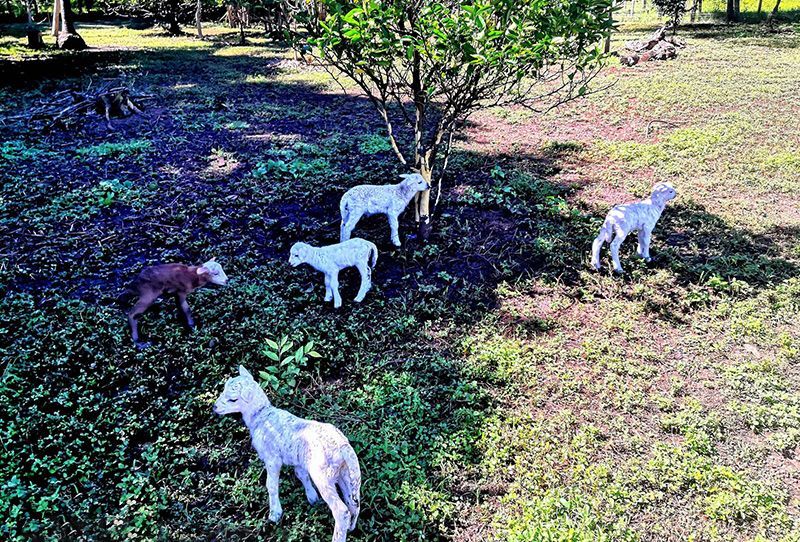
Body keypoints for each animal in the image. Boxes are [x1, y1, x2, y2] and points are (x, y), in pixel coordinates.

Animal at [214, 365, 361, 542]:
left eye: (233, 400)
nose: (215, 407)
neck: (260, 415)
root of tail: (343, 447)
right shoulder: (299, 460)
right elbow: (301, 475)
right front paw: (312, 498)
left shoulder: (272, 458)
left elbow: (271, 485)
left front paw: (275, 514)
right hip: (346, 473)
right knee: (354, 503)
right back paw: (351, 528)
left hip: (323, 474)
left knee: (341, 510)